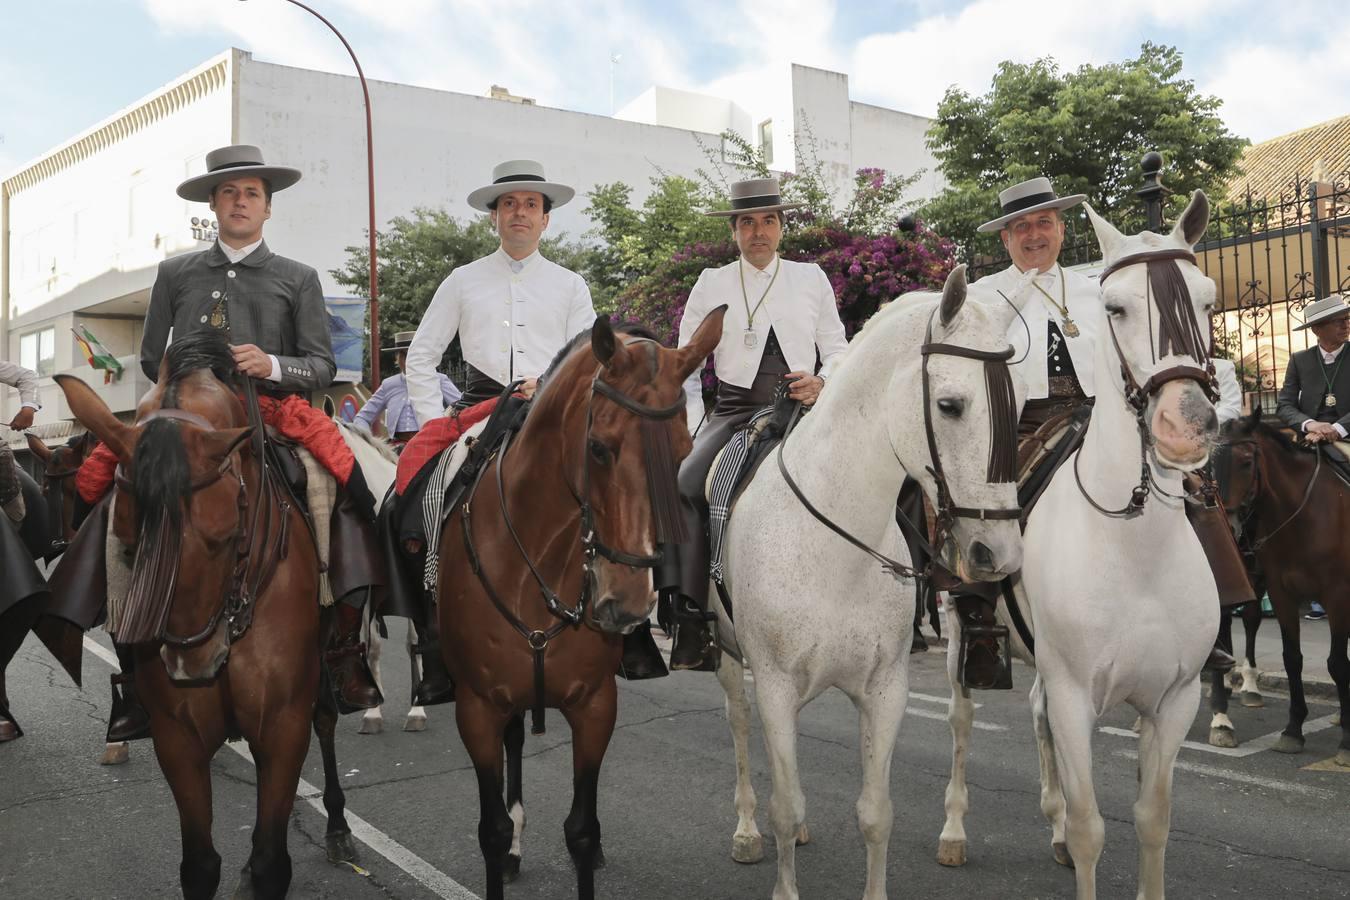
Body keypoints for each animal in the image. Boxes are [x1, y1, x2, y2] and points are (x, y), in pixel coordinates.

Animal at [56, 334, 359, 900]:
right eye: (126, 547)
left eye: (225, 537)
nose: (190, 667)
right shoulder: (178, 736)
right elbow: (200, 864)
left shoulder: (283, 722)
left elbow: (271, 862)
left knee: (327, 720)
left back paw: (337, 826)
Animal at [437, 311, 723, 900]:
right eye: (598, 448)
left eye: (684, 452)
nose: (626, 605)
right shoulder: (476, 708)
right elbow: (491, 831)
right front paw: (506, 845)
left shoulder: (594, 707)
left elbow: (582, 831)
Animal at [718, 265, 1020, 900]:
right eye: (950, 405)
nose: (1001, 554)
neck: (833, 545)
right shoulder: (774, 685)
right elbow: (786, 804)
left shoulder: (886, 690)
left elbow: (875, 813)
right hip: (729, 658)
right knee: (739, 725)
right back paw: (747, 831)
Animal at [939, 191, 1225, 900]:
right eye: (1116, 307)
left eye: (1208, 300)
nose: (1186, 427)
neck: (1134, 548)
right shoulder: (1077, 698)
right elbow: (1096, 825)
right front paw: (1076, 832)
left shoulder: (1174, 703)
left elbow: (1153, 819)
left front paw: (1072, 827)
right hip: (959, 630)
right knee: (959, 721)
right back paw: (954, 830)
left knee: (1034, 712)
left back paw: (1053, 822)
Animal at [1215, 412, 1350, 766]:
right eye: (1212, 463)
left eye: (1247, 462)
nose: (1228, 527)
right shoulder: (1281, 592)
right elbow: (1292, 658)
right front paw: (1293, 730)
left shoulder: (1337, 595)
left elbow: (1337, 662)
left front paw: (1346, 741)